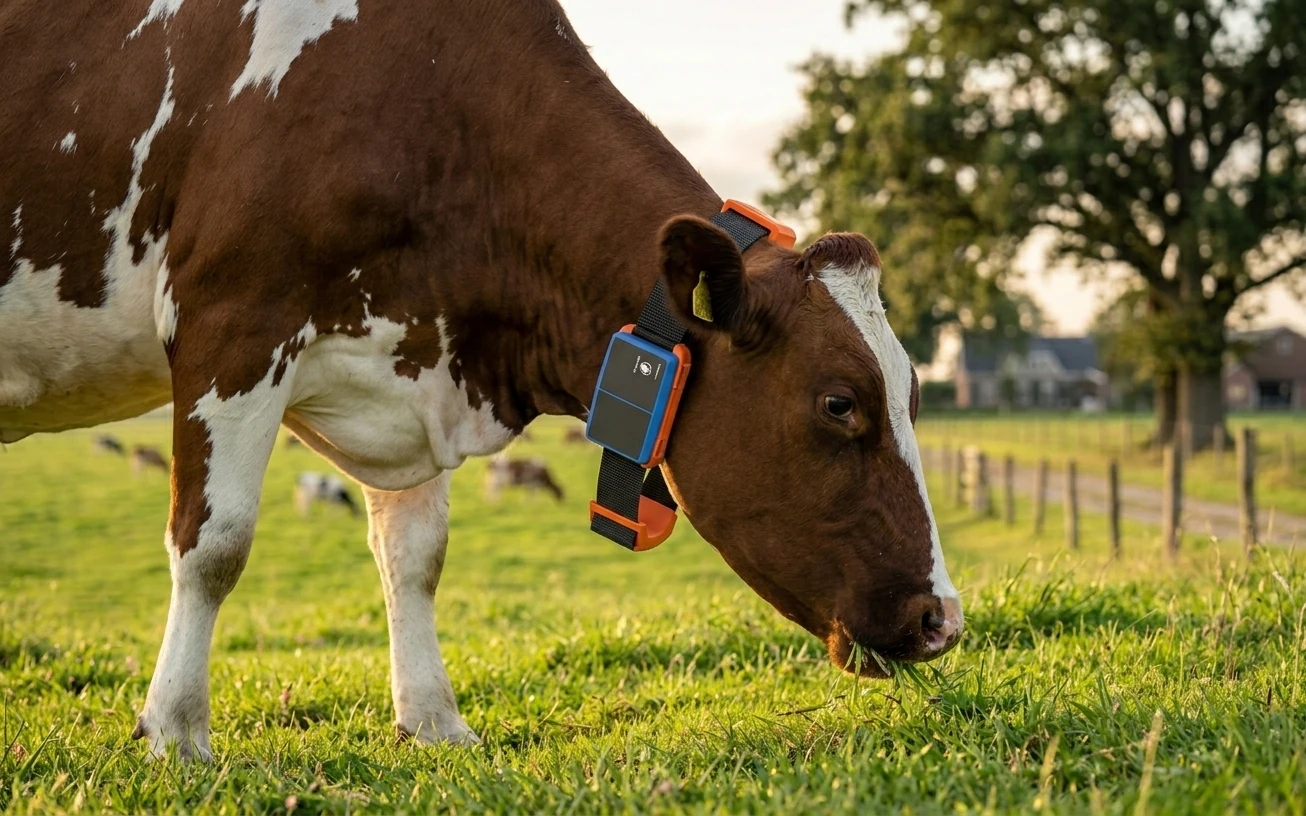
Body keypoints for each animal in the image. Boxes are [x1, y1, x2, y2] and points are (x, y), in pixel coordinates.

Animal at [0, 0, 962, 760]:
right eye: (839, 403)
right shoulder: (231, 323)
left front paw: (433, 721)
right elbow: (214, 544)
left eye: (914, 397)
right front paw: (175, 731)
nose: (942, 619)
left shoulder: (411, 365)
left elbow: (415, 557)